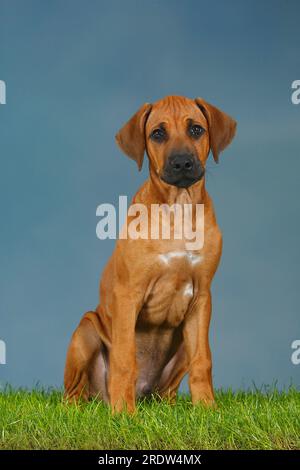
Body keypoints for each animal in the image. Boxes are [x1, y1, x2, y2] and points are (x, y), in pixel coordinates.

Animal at [63, 94, 237, 412]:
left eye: (196, 130)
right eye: (158, 134)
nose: (182, 163)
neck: (178, 208)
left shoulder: (202, 297)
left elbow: (203, 360)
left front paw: (207, 409)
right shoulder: (128, 294)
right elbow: (124, 359)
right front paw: (123, 414)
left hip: (181, 344)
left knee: (170, 387)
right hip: (86, 329)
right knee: (72, 393)